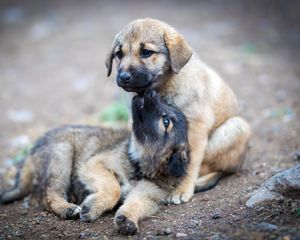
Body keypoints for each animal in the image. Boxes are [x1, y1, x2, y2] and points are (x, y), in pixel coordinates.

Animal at [105, 17, 251, 203]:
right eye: (118, 54)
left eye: (146, 52)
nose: (123, 77)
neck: (164, 86)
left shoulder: (196, 127)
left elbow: (190, 162)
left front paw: (182, 190)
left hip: (237, 128)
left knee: (219, 169)